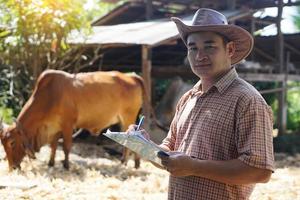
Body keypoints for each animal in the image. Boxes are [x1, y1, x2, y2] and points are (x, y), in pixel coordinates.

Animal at [0, 70, 143, 170]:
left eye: (12, 142)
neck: (49, 96)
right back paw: (132, 163)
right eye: (3, 143)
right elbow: (53, 146)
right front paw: (51, 163)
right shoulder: (55, 127)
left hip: (128, 117)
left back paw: (127, 163)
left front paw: (66, 165)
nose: (12, 167)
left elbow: (66, 146)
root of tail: (131, 76)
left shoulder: (67, 125)